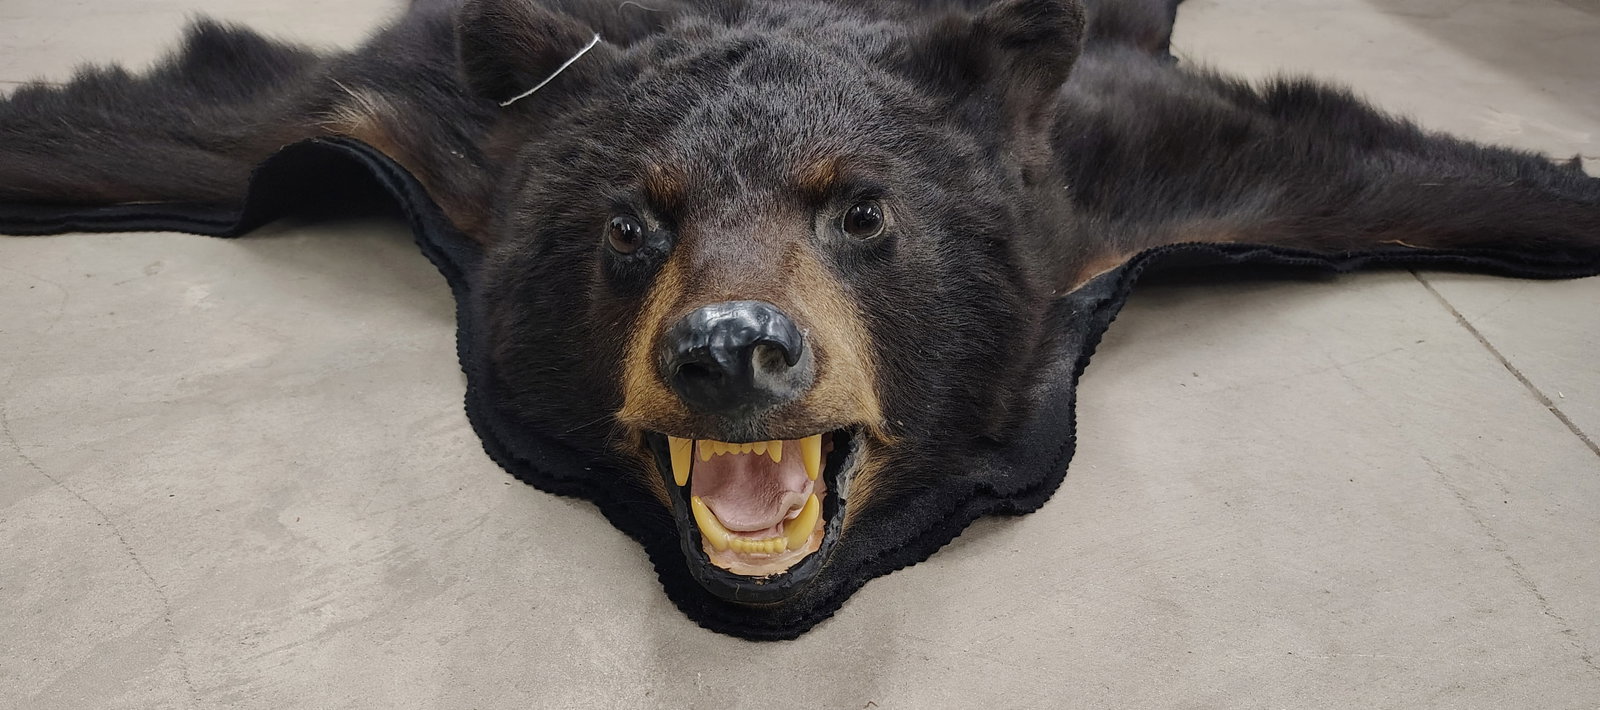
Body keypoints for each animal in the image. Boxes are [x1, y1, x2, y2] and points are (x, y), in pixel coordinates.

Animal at [2, 0, 1598, 638]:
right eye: (630, 222)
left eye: (864, 210)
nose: (731, 349)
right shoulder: (445, 122)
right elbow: (238, 121)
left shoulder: (1114, 172)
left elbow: (1354, 169)